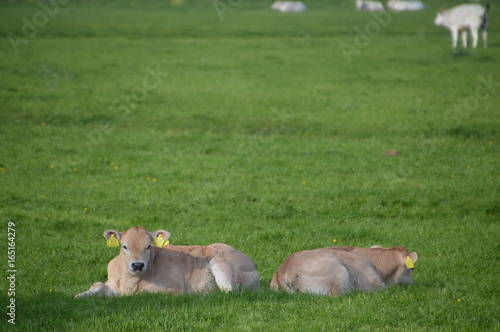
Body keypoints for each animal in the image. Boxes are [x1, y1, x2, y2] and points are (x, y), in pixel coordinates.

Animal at [77, 227, 262, 296]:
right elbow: (98, 285)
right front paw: (81, 295)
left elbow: (143, 292)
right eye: (124, 246)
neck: (129, 282)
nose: (137, 265)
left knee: (228, 290)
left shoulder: (173, 287)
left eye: (148, 246)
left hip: (221, 263)